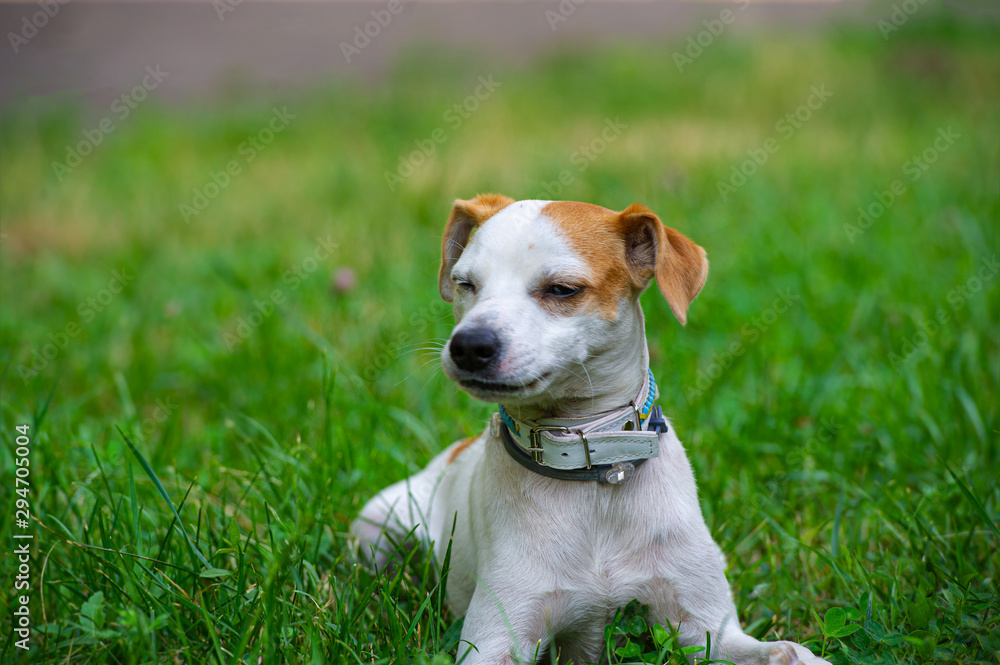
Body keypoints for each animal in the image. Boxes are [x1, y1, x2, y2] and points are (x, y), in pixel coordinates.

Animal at [353, 195, 830, 665]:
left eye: (562, 289)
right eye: (465, 283)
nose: (468, 346)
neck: (591, 470)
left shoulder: (707, 628)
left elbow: (787, 651)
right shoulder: (497, 638)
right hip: (375, 530)